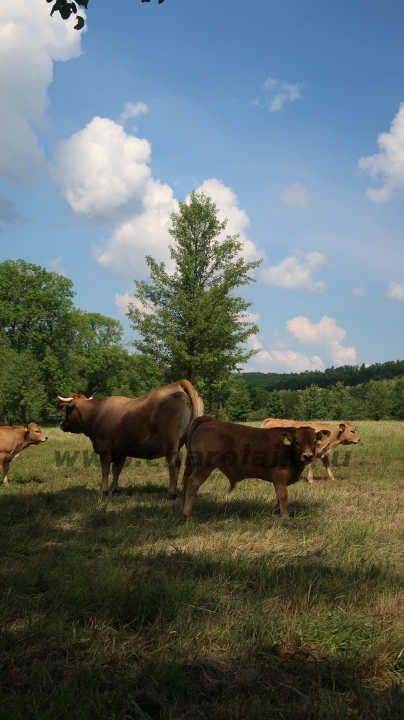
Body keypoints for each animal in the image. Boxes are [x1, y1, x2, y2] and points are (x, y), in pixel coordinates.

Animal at [58, 382, 204, 496]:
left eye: (67, 410)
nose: (61, 425)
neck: (98, 412)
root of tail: (179, 383)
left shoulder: (105, 446)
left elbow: (105, 469)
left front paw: (103, 490)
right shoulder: (122, 449)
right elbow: (116, 469)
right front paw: (114, 488)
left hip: (170, 443)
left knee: (174, 463)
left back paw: (171, 493)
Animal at [181, 416, 330, 516]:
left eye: (315, 441)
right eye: (297, 442)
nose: (308, 456)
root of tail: (209, 420)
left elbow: (278, 494)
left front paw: (278, 512)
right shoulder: (279, 473)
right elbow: (282, 494)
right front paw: (285, 516)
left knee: (186, 482)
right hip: (204, 466)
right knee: (193, 483)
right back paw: (188, 514)